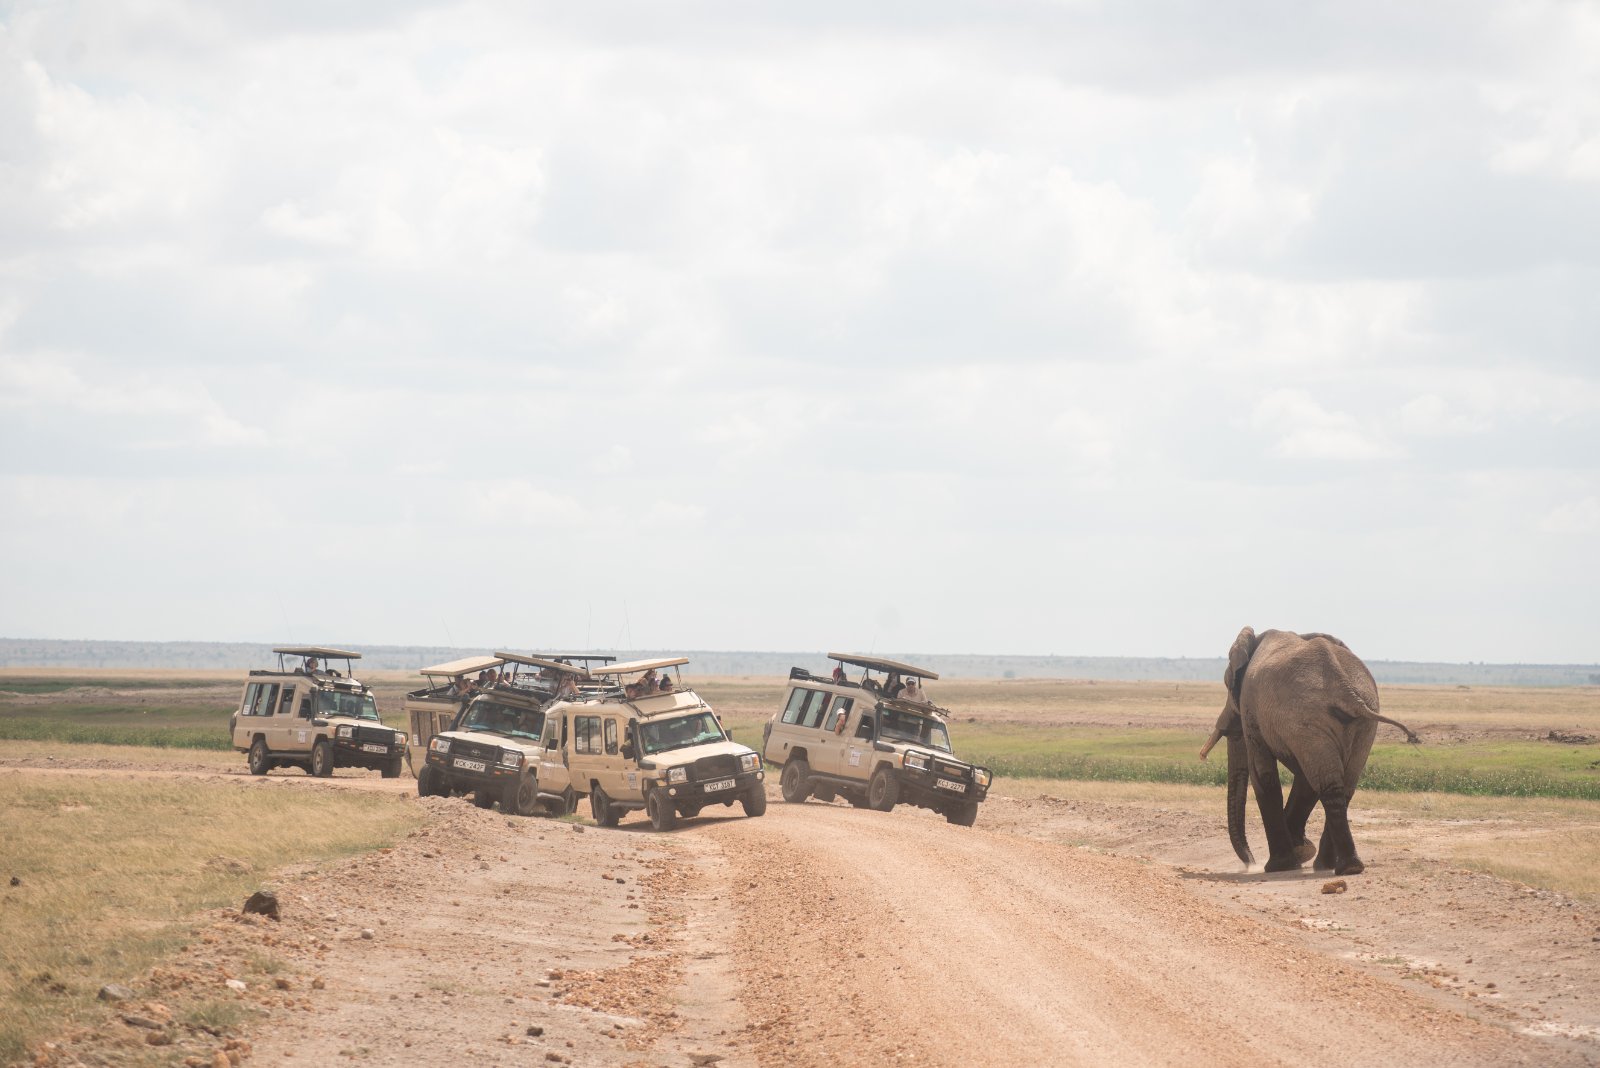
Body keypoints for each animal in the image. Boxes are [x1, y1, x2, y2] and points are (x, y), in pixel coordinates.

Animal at [1199, 627, 1419, 876]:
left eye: (1227, 685)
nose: (1250, 864)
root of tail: (1347, 691)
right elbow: (1305, 781)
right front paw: (1301, 851)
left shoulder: (1251, 708)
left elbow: (1265, 776)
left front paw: (1284, 863)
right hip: (1357, 723)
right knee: (1339, 784)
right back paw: (1338, 866)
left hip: (1311, 717)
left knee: (1325, 781)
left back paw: (1335, 867)